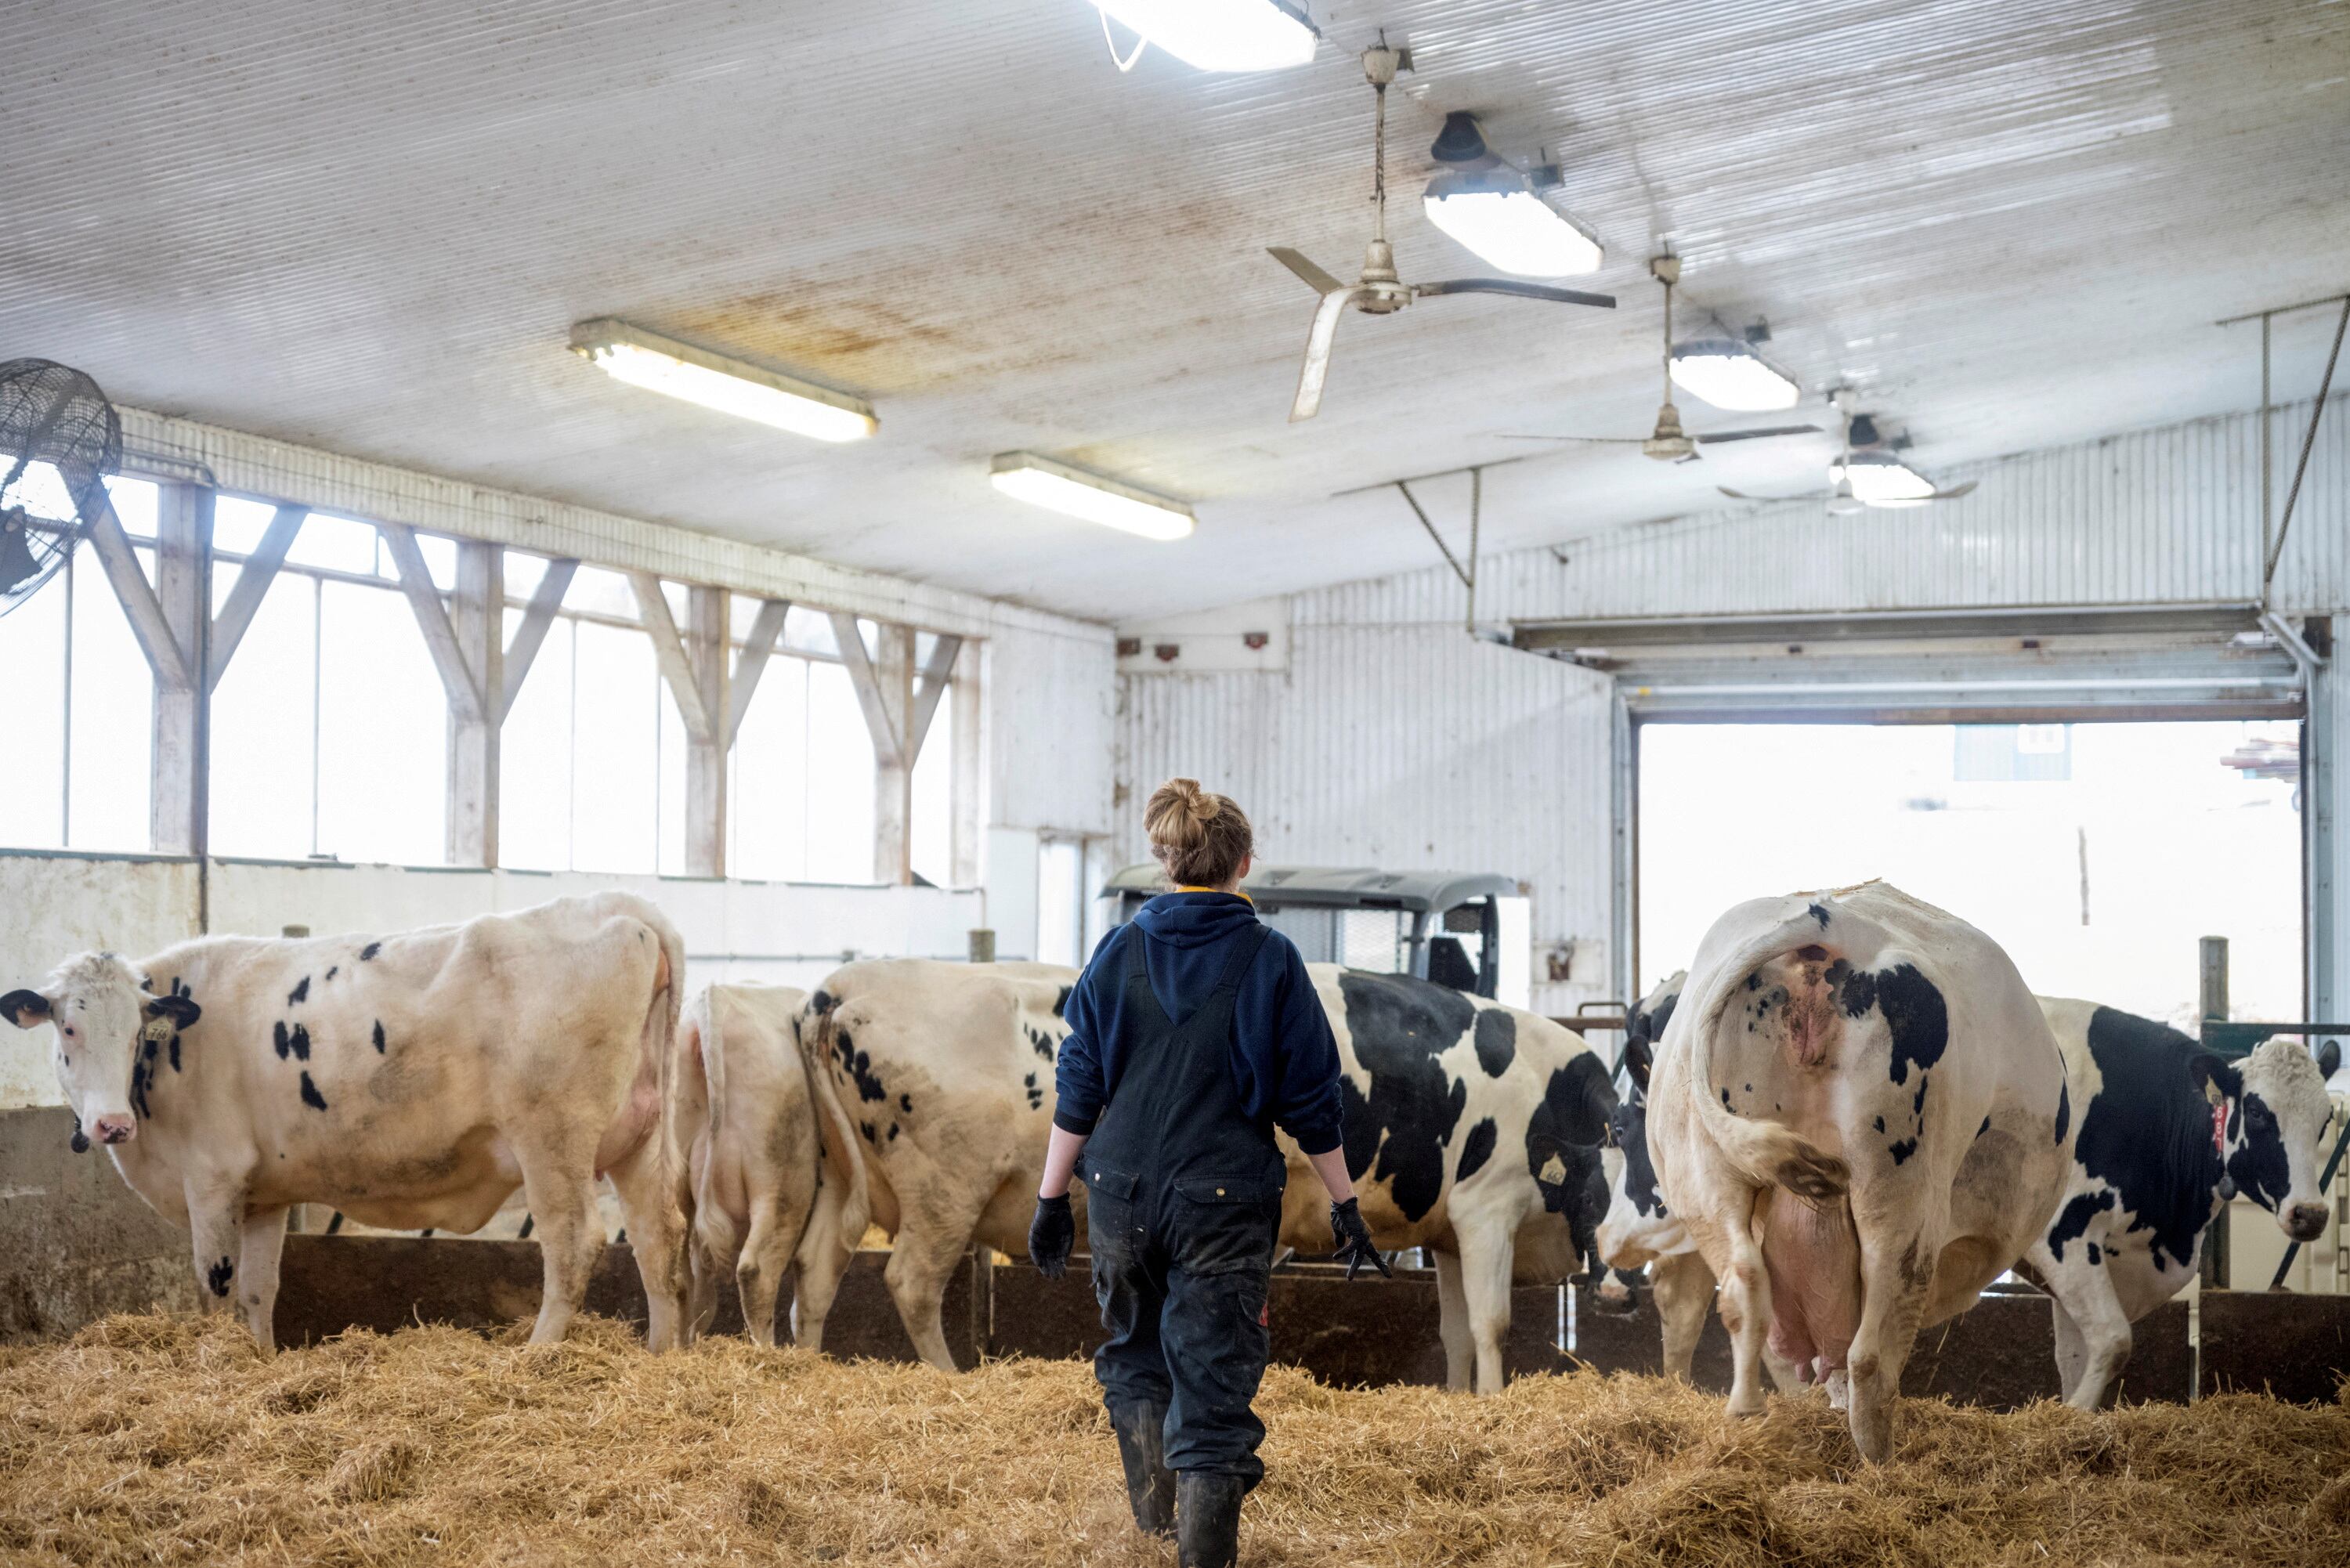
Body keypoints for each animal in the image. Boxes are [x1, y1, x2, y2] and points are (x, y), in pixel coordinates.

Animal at [0, 888, 691, 1353]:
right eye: (68, 1028)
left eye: (137, 1033)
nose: (112, 1125)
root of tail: (617, 902)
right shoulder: (264, 1196)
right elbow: (259, 1290)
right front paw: (261, 1359)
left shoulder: (212, 1179)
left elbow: (217, 1287)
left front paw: (221, 1361)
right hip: (641, 1139)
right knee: (658, 1238)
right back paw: (661, 1355)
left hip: (553, 1139)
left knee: (574, 1243)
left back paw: (536, 1354)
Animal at [790, 959, 1081, 1372]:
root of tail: (840, 986)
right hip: (945, 1193)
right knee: (913, 1284)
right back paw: (949, 1374)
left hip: (838, 1174)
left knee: (814, 1272)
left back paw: (808, 1362)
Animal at [1278, 968, 1626, 1400]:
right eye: (1589, 1199)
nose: (1617, 1297)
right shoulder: (1485, 1211)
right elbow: (1491, 1325)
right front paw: (1493, 1399)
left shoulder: (1449, 1237)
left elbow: (1457, 1334)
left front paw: (1459, 1396)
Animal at [1654, 883, 2077, 1457]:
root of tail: (1824, 923)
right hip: (1901, 1200)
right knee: (1871, 1354)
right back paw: (1882, 1461)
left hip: (1705, 1184)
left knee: (1744, 1292)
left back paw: (1747, 1415)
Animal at [2012, 1006, 2341, 1410]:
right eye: (2256, 1111)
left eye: (2326, 1118)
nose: (2311, 1213)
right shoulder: (2062, 1233)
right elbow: (2113, 1341)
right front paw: (2075, 1412)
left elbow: (2074, 1357)